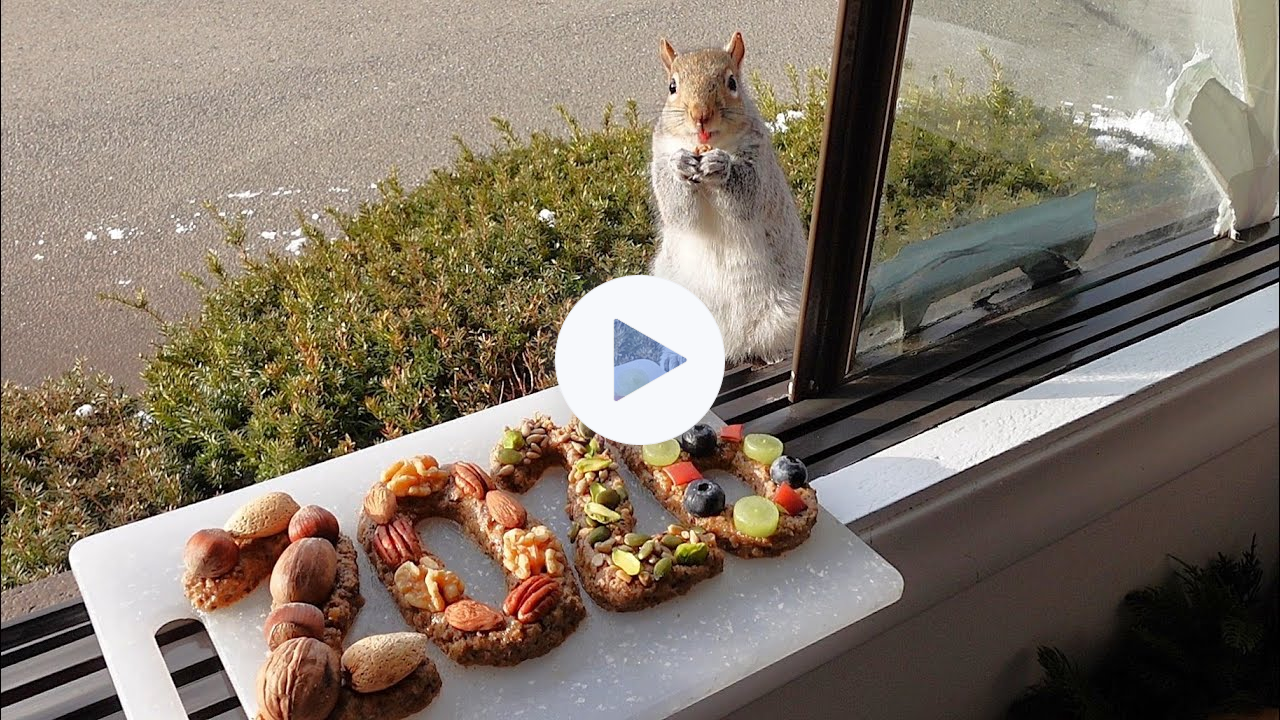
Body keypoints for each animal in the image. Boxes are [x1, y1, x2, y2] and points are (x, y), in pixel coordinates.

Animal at [648, 31, 808, 368]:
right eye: (672, 86)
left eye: (732, 82)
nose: (700, 116)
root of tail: (730, 342)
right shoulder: (660, 154)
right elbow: (676, 208)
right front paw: (681, 166)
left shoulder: (759, 158)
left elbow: (747, 194)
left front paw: (721, 167)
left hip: (786, 312)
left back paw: (776, 355)